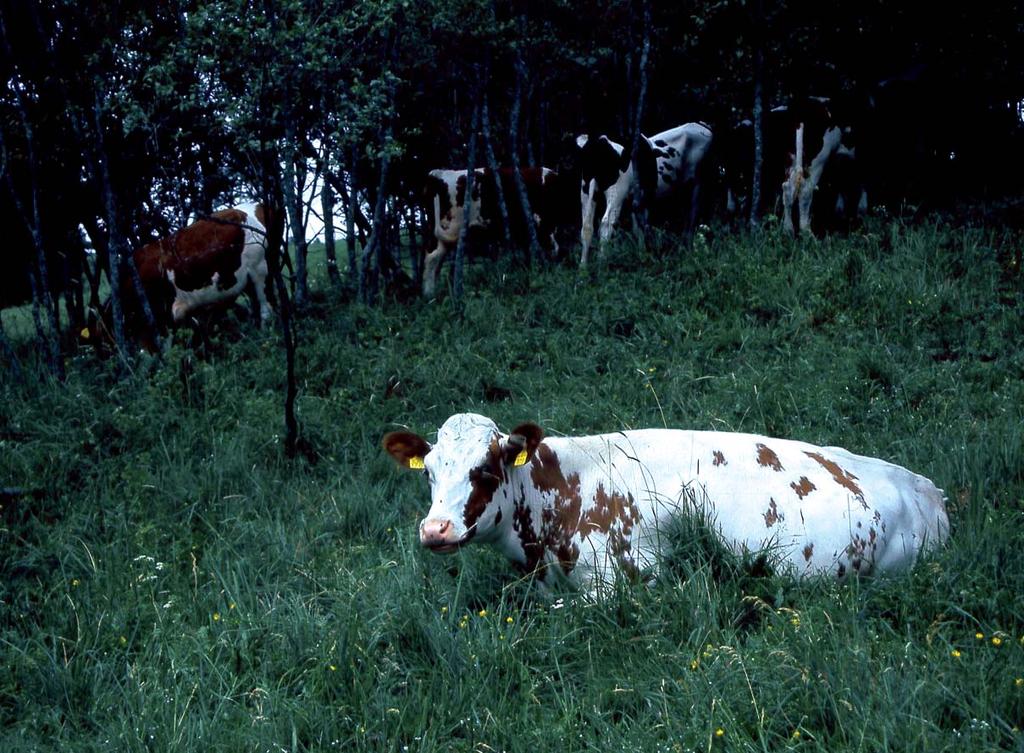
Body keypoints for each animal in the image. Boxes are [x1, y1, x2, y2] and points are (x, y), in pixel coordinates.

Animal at [577, 122, 712, 266]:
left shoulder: (636, 201)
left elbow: (639, 228)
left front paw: (642, 255)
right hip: (615, 191)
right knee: (606, 224)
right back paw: (601, 263)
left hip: (588, 189)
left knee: (587, 226)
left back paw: (583, 267)